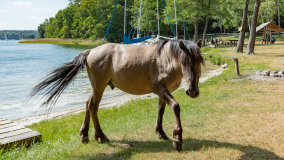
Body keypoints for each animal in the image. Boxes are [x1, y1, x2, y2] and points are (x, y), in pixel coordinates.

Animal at [30, 39, 204, 151]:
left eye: (199, 62)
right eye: (184, 62)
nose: (193, 91)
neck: (165, 58)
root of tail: (91, 51)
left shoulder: (164, 91)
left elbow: (161, 110)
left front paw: (161, 133)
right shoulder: (159, 89)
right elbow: (175, 107)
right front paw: (177, 139)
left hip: (97, 87)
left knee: (88, 104)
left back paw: (85, 135)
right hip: (99, 86)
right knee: (93, 106)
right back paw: (100, 136)